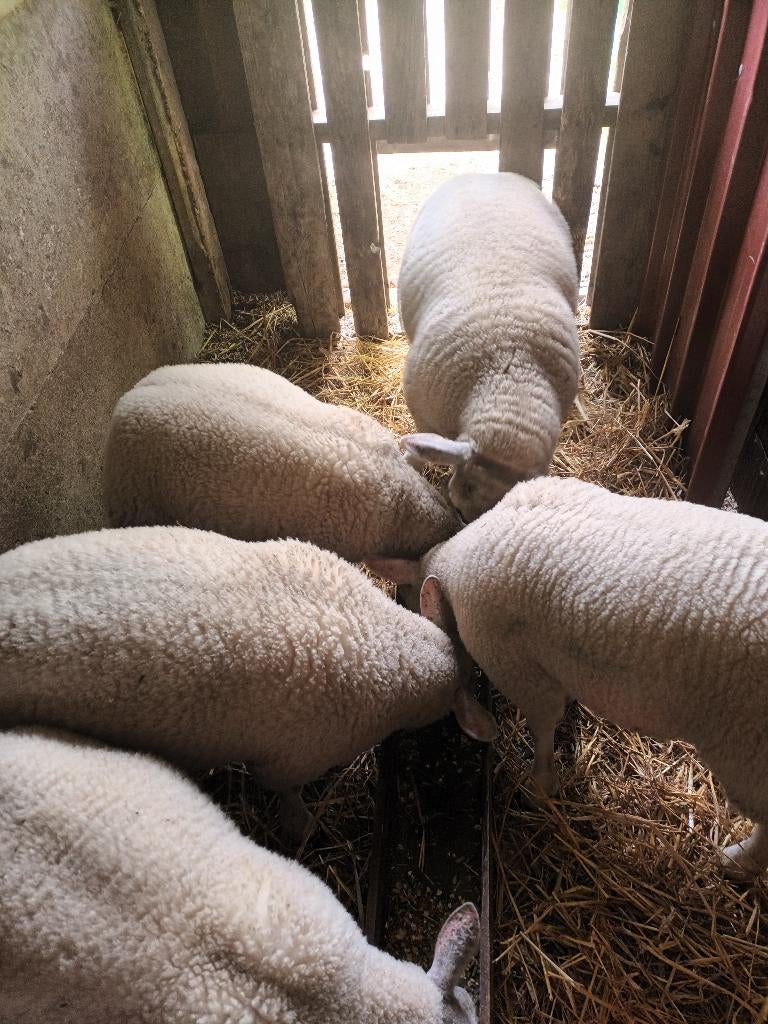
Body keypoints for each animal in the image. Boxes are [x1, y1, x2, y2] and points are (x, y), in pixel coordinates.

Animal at [367, 476, 768, 879]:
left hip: (748, 753)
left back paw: (736, 861)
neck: (455, 564)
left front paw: (540, 787)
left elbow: (544, 724)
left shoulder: (517, 668)